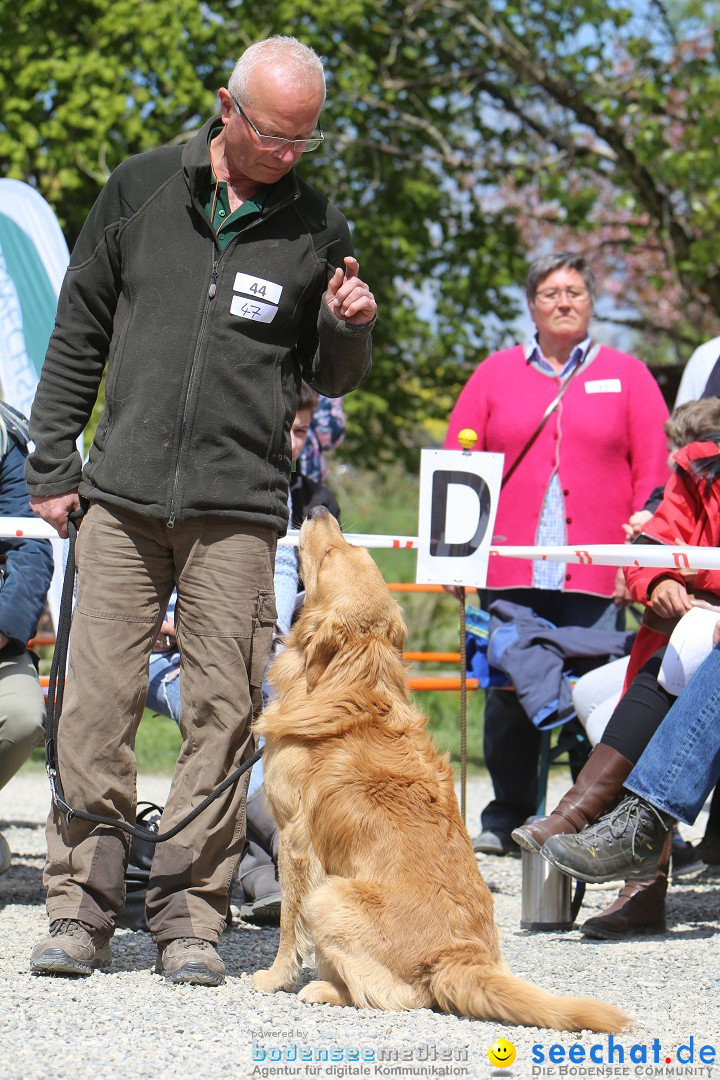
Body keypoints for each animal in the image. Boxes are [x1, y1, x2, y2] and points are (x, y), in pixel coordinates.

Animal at [253, 509, 630, 1032]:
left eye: (328, 555)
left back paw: (325, 989)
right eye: (348, 546)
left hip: (329, 896)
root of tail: (458, 958)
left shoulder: (293, 838)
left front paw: (275, 977)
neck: (353, 682)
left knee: (397, 995)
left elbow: (290, 923)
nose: (318, 511)